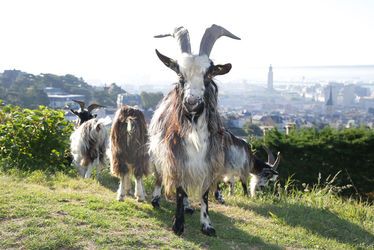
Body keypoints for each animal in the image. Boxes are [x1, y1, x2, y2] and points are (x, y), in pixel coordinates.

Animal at [149, 24, 240, 236]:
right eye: (180, 74)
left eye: (208, 74)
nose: (192, 103)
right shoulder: (176, 157)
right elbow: (179, 190)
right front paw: (178, 224)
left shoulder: (208, 162)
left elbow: (205, 194)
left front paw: (207, 225)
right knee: (159, 176)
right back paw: (156, 199)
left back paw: (189, 206)